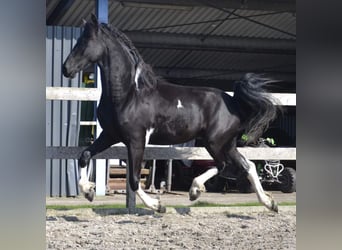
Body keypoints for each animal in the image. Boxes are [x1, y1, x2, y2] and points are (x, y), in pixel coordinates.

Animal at [62, 14, 280, 213]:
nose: (66, 69)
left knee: (224, 165)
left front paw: (157, 205)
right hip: (226, 143)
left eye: (85, 42)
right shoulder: (110, 135)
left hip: (214, 142)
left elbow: (133, 179)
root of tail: (233, 101)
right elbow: (84, 155)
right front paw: (88, 191)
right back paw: (269, 203)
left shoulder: (136, 140)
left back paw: (195, 190)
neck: (128, 94)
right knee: (247, 165)